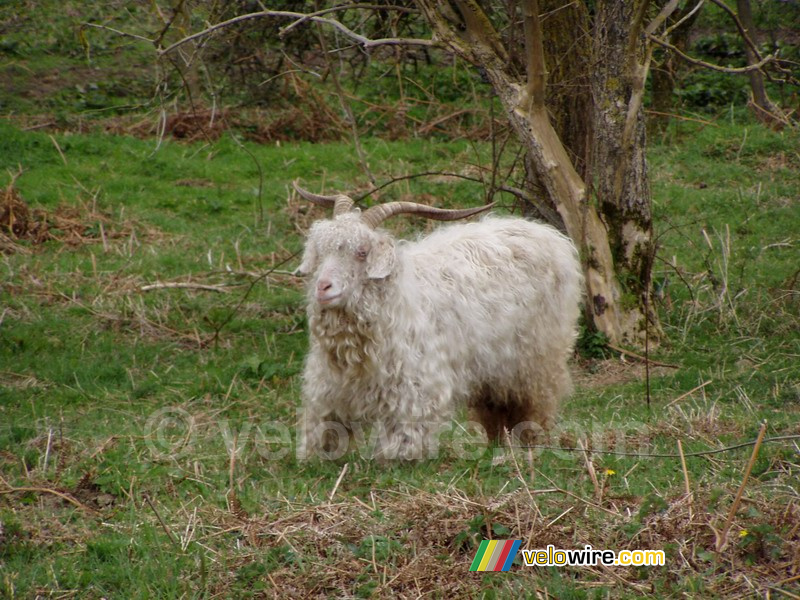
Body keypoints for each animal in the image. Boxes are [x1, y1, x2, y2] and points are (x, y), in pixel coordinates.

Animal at [294, 183, 580, 460]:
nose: (323, 287)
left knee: (536, 401)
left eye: (362, 252)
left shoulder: (414, 390)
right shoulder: (329, 390)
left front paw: (398, 459)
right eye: (321, 251)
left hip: (537, 357)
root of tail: (546, 233)